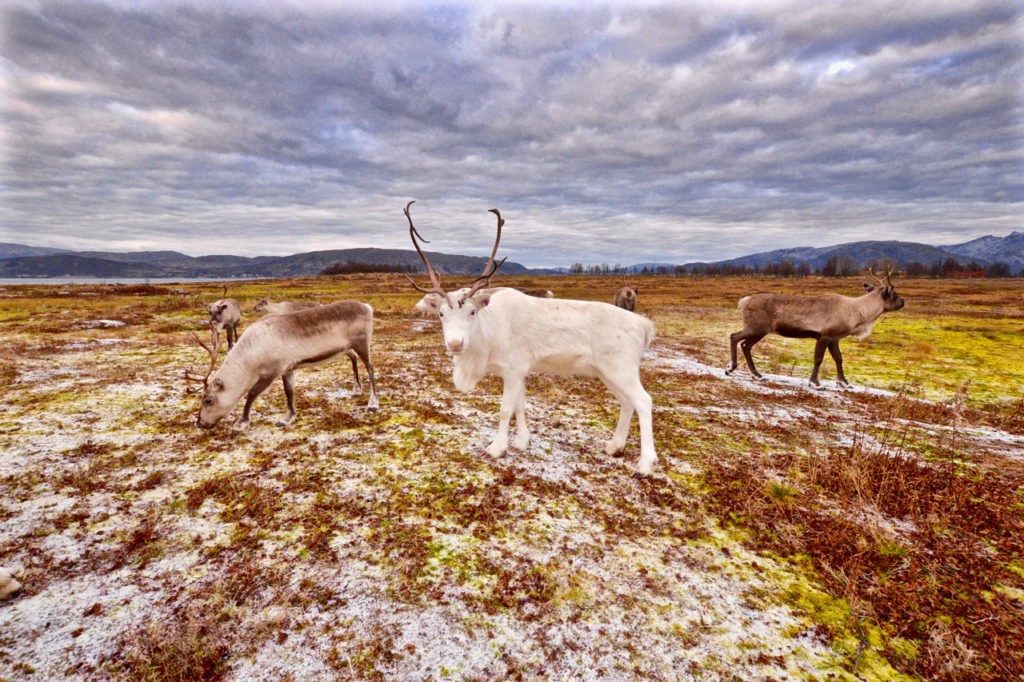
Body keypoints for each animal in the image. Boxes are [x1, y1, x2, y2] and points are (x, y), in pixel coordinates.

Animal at [187, 301, 379, 430]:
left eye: (208, 400)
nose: (199, 423)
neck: (251, 354)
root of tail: (367, 307)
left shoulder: (273, 370)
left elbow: (251, 393)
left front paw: (241, 422)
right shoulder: (289, 368)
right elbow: (289, 392)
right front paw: (289, 417)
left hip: (362, 342)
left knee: (370, 368)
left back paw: (373, 402)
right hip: (347, 348)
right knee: (354, 359)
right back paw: (356, 389)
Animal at [404, 201, 658, 475]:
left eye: (472, 312)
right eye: (441, 313)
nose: (455, 343)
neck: (488, 334)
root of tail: (643, 325)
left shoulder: (514, 368)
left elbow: (505, 409)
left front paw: (496, 448)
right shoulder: (517, 370)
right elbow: (520, 405)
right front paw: (522, 442)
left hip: (622, 368)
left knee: (644, 401)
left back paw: (645, 463)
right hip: (607, 371)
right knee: (627, 402)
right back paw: (614, 446)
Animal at [725, 268, 905, 388]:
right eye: (894, 294)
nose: (903, 302)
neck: (856, 313)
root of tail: (743, 301)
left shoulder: (834, 338)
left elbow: (839, 358)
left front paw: (844, 382)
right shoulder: (825, 335)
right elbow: (818, 358)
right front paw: (815, 382)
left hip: (758, 330)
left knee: (744, 344)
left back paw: (756, 374)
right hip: (757, 328)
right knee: (735, 337)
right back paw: (732, 368)